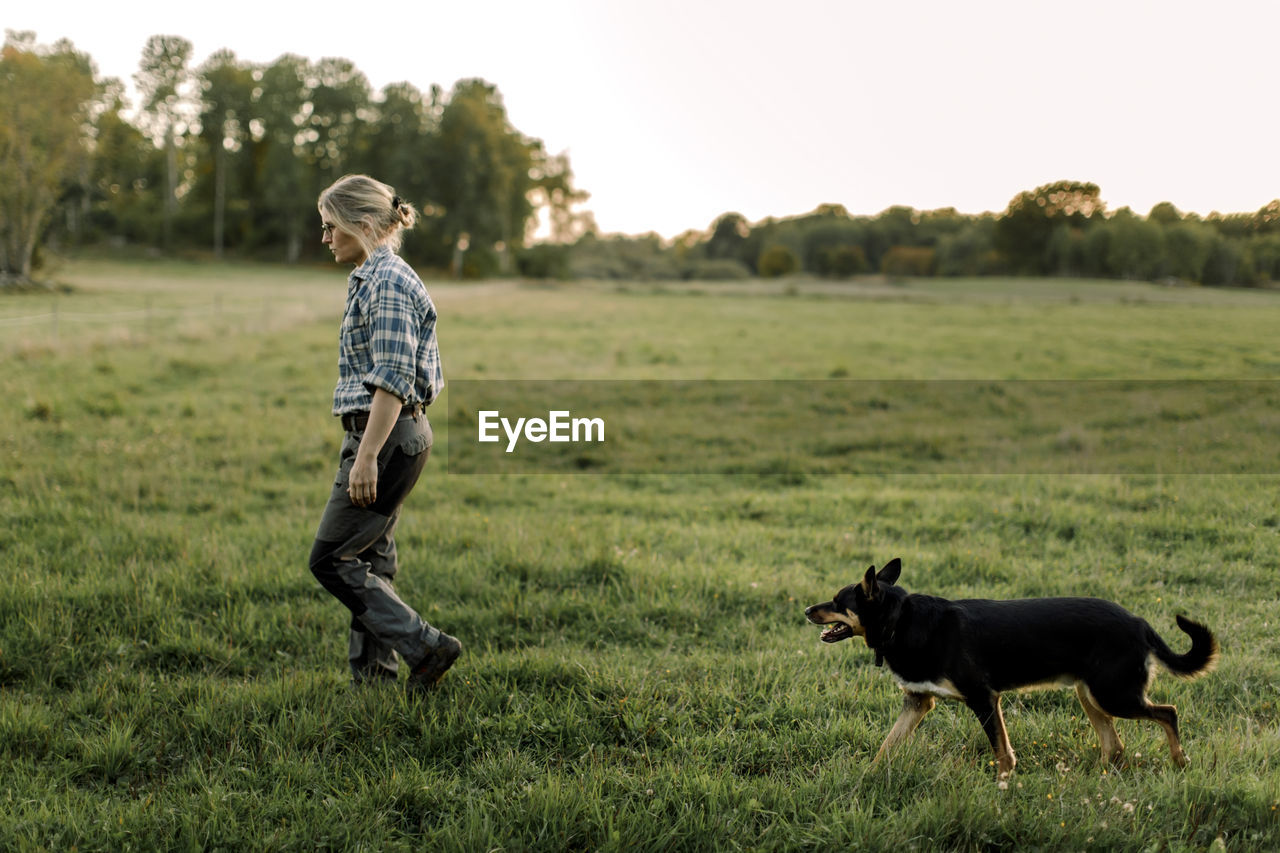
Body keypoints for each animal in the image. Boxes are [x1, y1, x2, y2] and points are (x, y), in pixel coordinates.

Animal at [803, 558, 1213, 778]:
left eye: (838, 601)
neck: (899, 621)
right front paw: (866, 777)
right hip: (1091, 695)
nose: (807, 610)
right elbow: (886, 747)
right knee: (1115, 746)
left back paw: (1180, 761)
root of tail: (1139, 622)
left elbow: (1002, 751)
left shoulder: (984, 698)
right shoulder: (918, 702)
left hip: (1115, 695)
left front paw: (1002, 786)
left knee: (1168, 713)